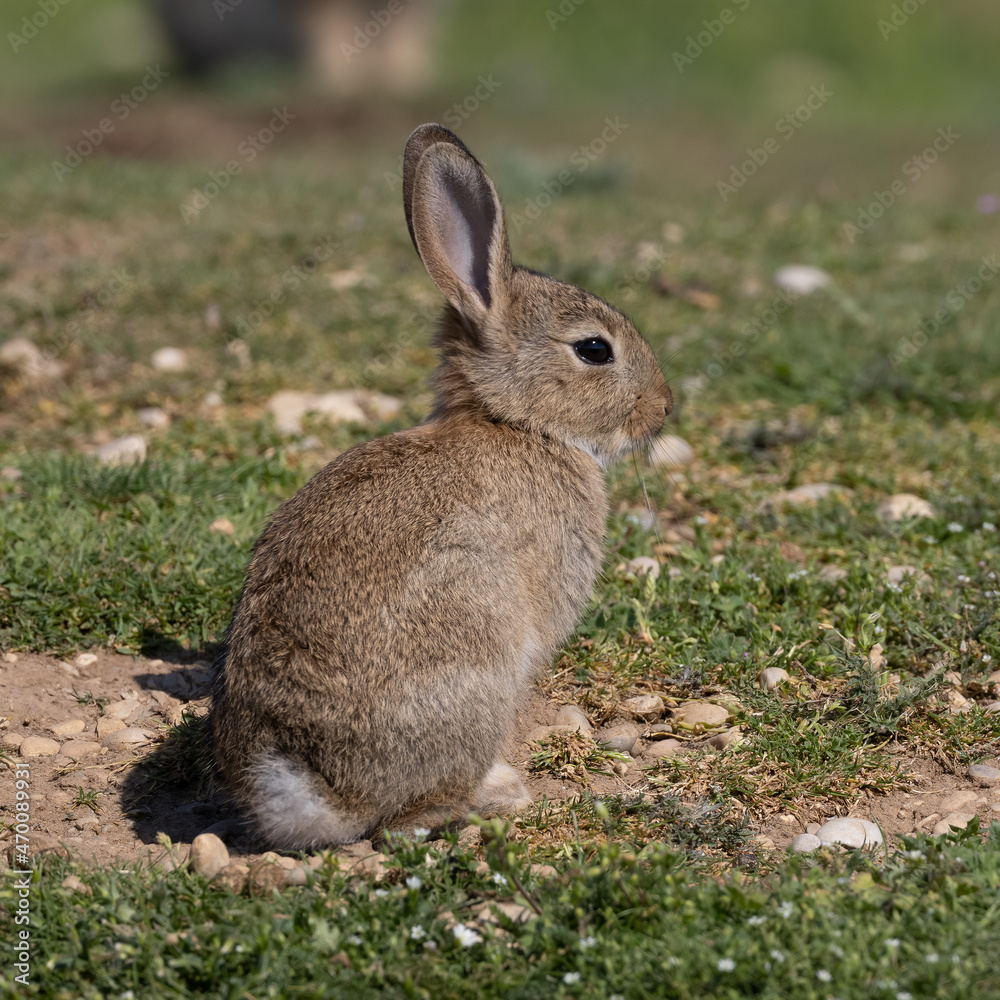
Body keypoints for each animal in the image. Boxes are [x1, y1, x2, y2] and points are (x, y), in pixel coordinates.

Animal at [209, 122, 672, 850]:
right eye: (595, 350)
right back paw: (499, 792)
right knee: (407, 820)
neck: (515, 422)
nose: (664, 408)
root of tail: (320, 792)